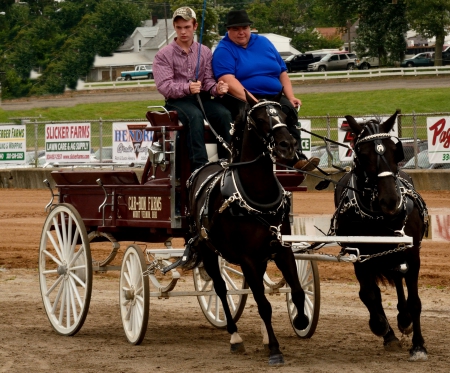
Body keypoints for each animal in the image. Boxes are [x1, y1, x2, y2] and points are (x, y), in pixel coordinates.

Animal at [186, 91, 310, 364]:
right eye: (260, 119)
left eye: (284, 115)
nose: (287, 145)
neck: (257, 197)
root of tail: (205, 168)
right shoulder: (247, 259)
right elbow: (263, 304)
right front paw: (274, 349)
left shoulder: (281, 250)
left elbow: (297, 292)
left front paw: (301, 320)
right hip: (208, 251)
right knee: (221, 290)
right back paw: (235, 336)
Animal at [334, 111, 428, 360]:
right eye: (363, 154)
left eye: (395, 150)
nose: (390, 201)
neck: (379, 216)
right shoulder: (359, 255)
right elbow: (369, 294)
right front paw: (382, 328)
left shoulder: (411, 253)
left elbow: (414, 301)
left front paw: (418, 345)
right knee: (373, 291)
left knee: (397, 277)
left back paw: (404, 319)